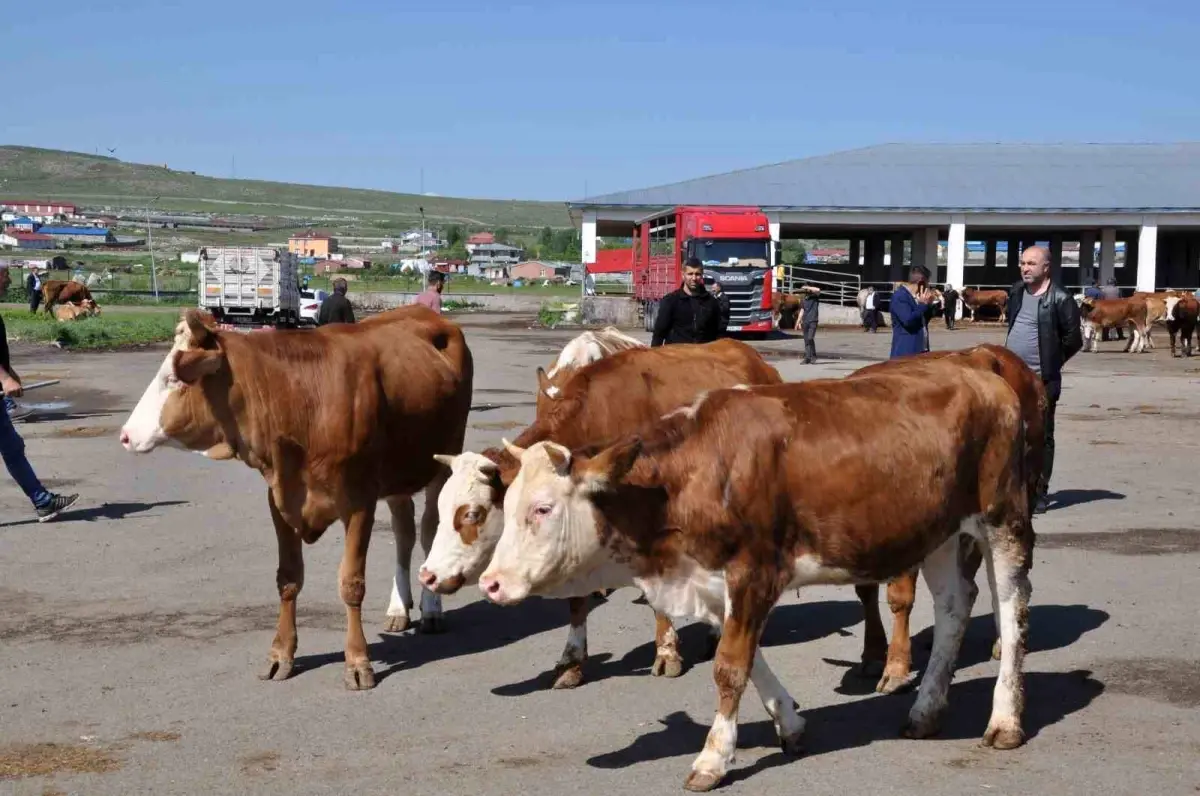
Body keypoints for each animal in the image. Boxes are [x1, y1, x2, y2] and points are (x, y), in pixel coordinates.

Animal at [118, 304, 472, 691]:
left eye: (174, 379)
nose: (125, 435)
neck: (300, 399)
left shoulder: (359, 501)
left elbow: (351, 584)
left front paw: (357, 660)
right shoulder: (279, 499)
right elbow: (288, 578)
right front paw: (280, 655)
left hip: (444, 458)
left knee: (428, 530)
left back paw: (432, 609)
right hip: (397, 475)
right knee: (404, 533)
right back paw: (398, 608)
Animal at [417, 340, 782, 691]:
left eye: (472, 514)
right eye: (440, 509)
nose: (428, 576)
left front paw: (667, 653)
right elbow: (576, 601)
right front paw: (572, 661)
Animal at [482, 364, 1036, 792]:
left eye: (542, 508)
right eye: (508, 506)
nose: (490, 582)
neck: (691, 477)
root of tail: (982, 374)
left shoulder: (754, 570)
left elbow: (730, 667)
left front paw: (712, 758)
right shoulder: (715, 580)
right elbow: (751, 661)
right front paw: (789, 723)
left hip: (1002, 515)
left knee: (1011, 609)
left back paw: (1005, 720)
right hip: (938, 531)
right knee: (954, 606)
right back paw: (926, 710)